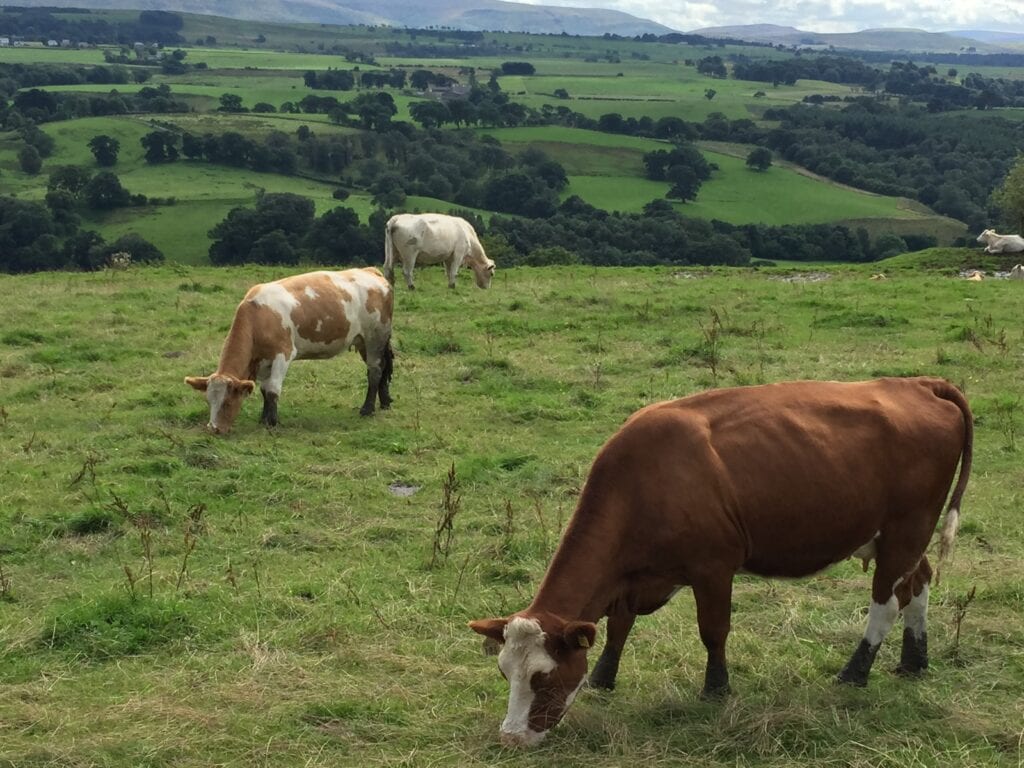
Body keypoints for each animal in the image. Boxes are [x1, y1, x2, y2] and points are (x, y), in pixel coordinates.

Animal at [184, 268, 391, 434]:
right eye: (208, 401)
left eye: (227, 403)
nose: (214, 429)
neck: (258, 316)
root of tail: (370, 270)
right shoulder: (263, 360)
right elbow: (264, 389)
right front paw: (263, 418)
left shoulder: (283, 355)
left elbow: (273, 389)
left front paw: (272, 422)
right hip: (364, 341)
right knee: (384, 367)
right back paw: (385, 402)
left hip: (375, 337)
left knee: (375, 371)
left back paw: (367, 409)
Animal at [468, 376, 970, 749]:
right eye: (504, 672)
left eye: (544, 678)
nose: (512, 738)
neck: (645, 481)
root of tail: (918, 383)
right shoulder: (632, 578)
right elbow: (619, 626)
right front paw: (604, 678)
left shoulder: (713, 568)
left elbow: (713, 630)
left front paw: (716, 688)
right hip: (902, 539)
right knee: (918, 584)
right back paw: (914, 661)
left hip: (906, 530)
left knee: (886, 603)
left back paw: (855, 672)